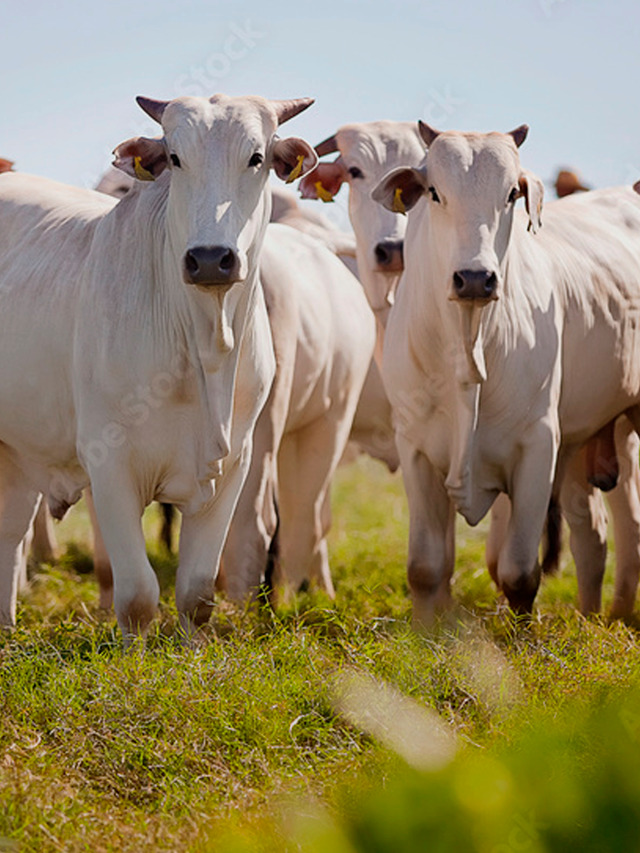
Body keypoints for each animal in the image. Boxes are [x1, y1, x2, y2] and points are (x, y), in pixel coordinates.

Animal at [0, 93, 318, 640]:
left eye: (256, 157)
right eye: (175, 158)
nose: (210, 259)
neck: (204, 349)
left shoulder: (233, 466)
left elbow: (196, 592)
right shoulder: (108, 464)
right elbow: (136, 595)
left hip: (18, 454)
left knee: (9, 533)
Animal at [372, 123, 640, 624]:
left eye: (512, 193)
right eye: (434, 192)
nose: (476, 279)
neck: (468, 347)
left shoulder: (538, 445)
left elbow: (518, 572)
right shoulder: (415, 447)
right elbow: (426, 568)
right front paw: (425, 632)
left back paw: (617, 617)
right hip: (586, 441)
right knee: (592, 532)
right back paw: (595, 616)